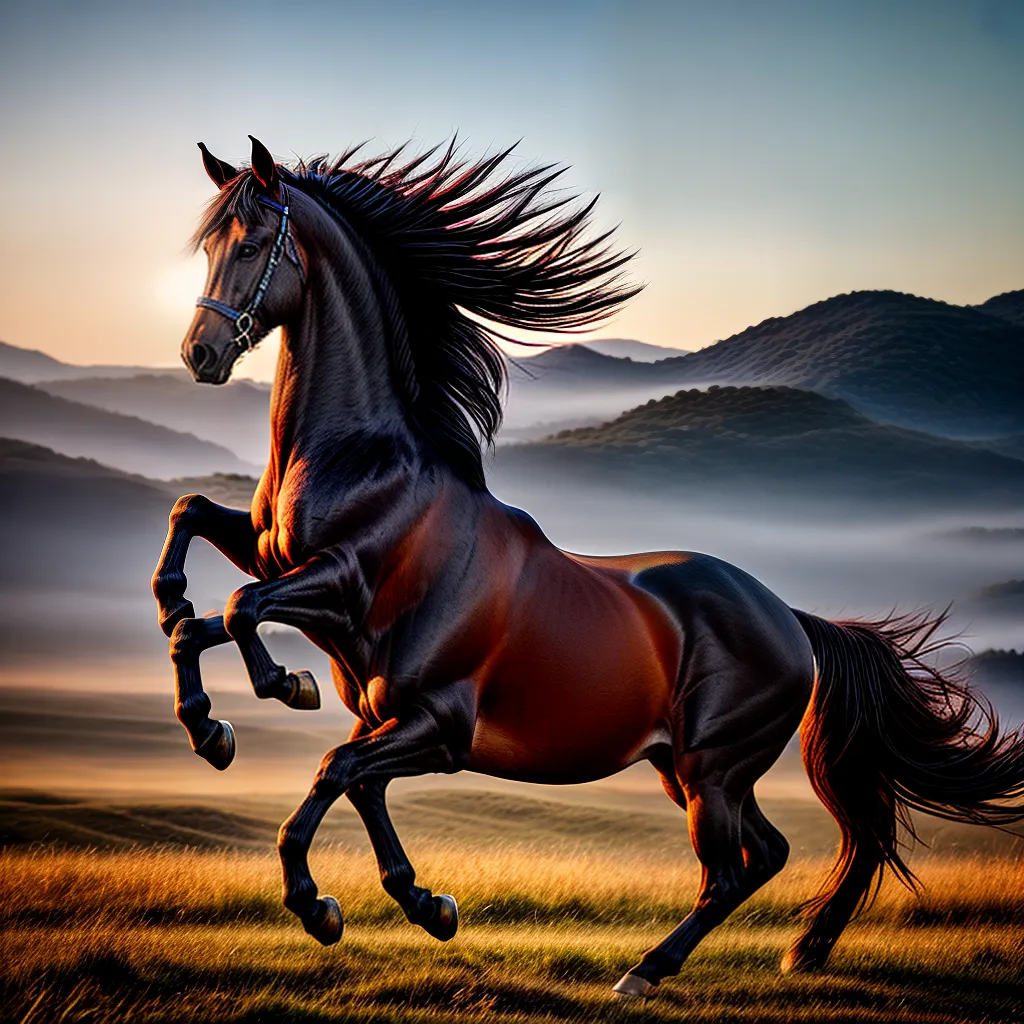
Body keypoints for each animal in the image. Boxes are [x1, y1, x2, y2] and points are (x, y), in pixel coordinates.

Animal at [153, 135, 1024, 999]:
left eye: (254, 246)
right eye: (211, 247)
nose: (200, 353)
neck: (372, 470)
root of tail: (794, 622)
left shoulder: (427, 711)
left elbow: (296, 701)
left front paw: (307, 859)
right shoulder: (326, 618)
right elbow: (198, 551)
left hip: (712, 770)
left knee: (730, 870)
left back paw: (645, 972)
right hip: (688, 768)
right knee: (764, 855)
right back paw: (749, 955)